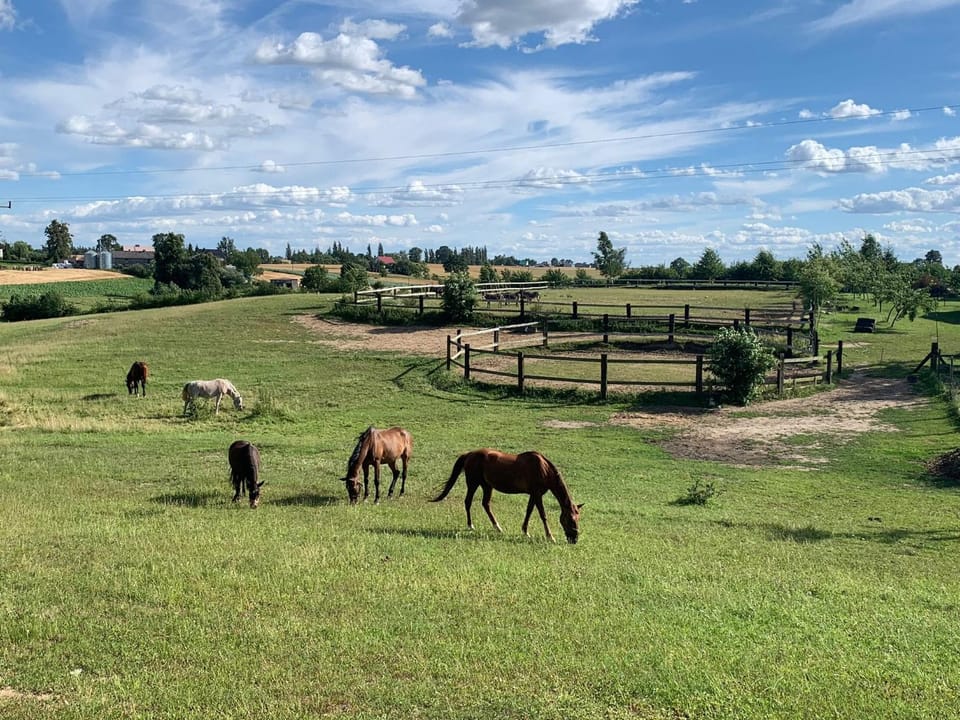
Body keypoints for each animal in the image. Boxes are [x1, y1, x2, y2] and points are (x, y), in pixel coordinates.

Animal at [431, 449, 582, 544]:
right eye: (570, 519)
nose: (574, 540)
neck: (544, 469)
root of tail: (469, 454)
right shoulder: (537, 494)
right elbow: (542, 515)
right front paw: (550, 537)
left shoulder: (533, 494)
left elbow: (529, 511)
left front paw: (525, 532)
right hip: (473, 483)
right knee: (468, 502)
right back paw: (471, 525)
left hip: (487, 486)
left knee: (485, 504)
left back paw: (498, 527)